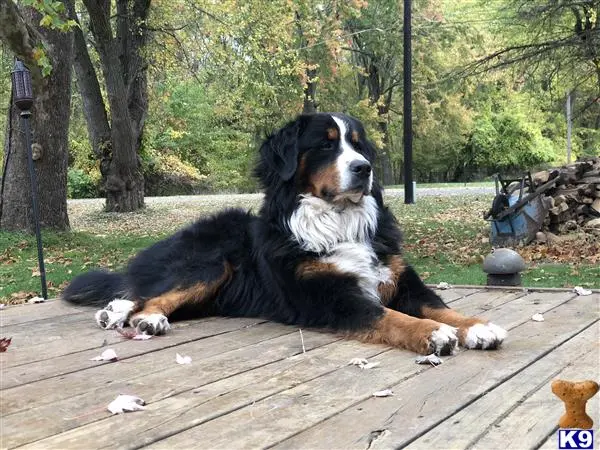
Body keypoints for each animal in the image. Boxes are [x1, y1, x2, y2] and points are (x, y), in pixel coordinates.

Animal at [64, 113, 506, 356]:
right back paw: (143, 319)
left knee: (138, 294)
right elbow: (392, 317)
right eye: (326, 146)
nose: (364, 168)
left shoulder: (400, 279)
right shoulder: (330, 296)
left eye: (359, 145)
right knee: (149, 297)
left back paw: (115, 312)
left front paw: (476, 325)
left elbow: (439, 306)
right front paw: (432, 333)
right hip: (210, 263)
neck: (337, 221)